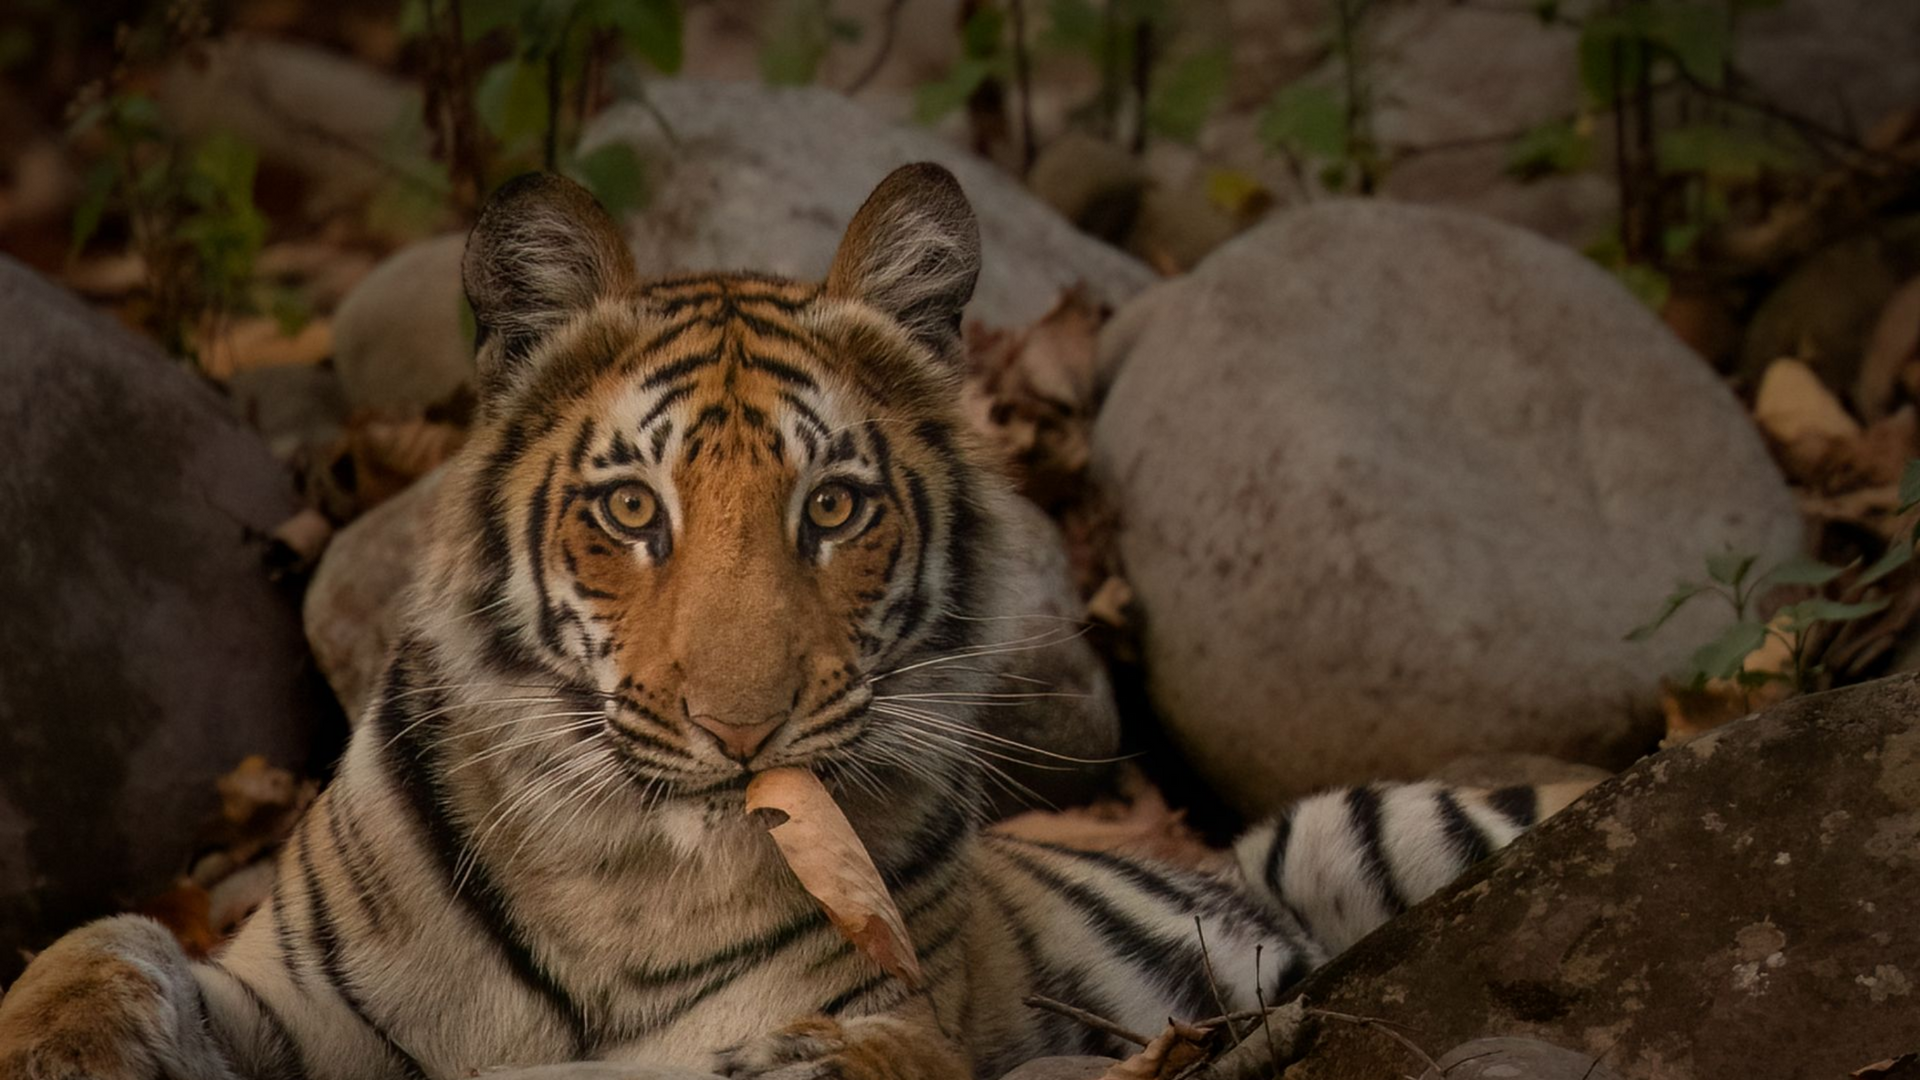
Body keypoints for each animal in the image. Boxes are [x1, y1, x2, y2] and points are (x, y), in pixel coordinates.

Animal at [0, 163, 1589, 1080]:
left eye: (831, 507)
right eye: (630, 510)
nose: (740, 725)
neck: (618, 877)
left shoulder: (889, 1010)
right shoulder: (296, 1004)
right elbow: (104, 942)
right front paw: (63, 1040)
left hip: (1375, 832)